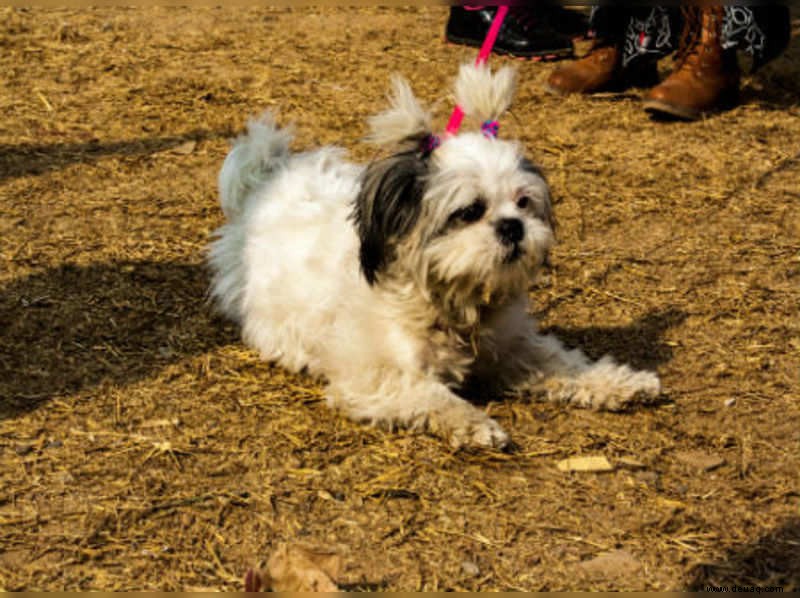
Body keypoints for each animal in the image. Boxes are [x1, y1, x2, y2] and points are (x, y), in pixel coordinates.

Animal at [208, 65, 664, 450]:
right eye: (470, 211)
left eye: (523, 203)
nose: (512, 226)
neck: (449, 302)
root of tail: (268, 177)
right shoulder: (375, 375)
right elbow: (432, 395)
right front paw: (475, 423)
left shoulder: (514, 349)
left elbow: (568, 364)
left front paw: (622, 382)